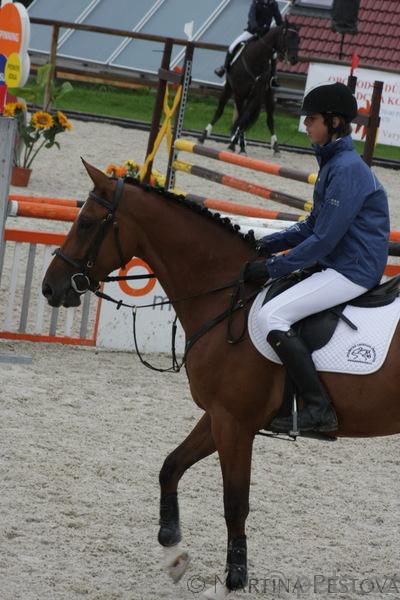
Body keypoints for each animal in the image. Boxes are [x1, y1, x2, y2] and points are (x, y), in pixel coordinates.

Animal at [42, 165, 400, 599]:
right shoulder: (218, 416)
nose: (50, 287)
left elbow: (235, 503)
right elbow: (171, 466)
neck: (228, 298)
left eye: (87, 223)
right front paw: (171, 546)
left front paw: (234, 579)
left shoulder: (234, 423)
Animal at [198, 22, 300, 155]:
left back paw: (276, 148)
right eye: (287, 38)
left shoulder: (256, 95)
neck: (256, 59)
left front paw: (238, 145)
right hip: (229, 88)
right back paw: (204, 136)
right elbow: (240, 118)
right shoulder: (239, 94)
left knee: (269, 120)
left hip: (268, 95)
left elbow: (243, 119)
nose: (294, 59)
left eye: (298, 40)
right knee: (220, 110)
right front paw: (235, 144)